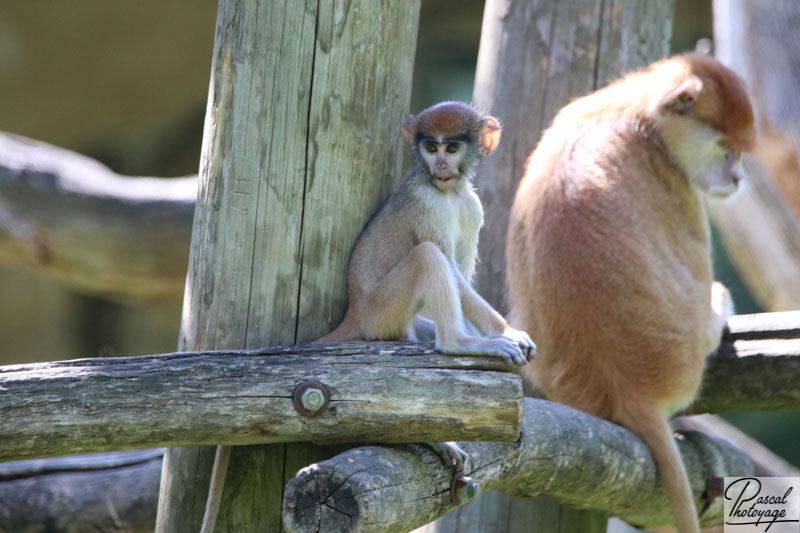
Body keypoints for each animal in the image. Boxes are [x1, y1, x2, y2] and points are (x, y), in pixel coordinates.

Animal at [510, 55, 752, 532]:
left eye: (738, 151)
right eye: (723, 148)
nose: (736, 177)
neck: (641, 111)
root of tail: (629, 389)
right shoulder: (679, 186)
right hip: (683, 360)